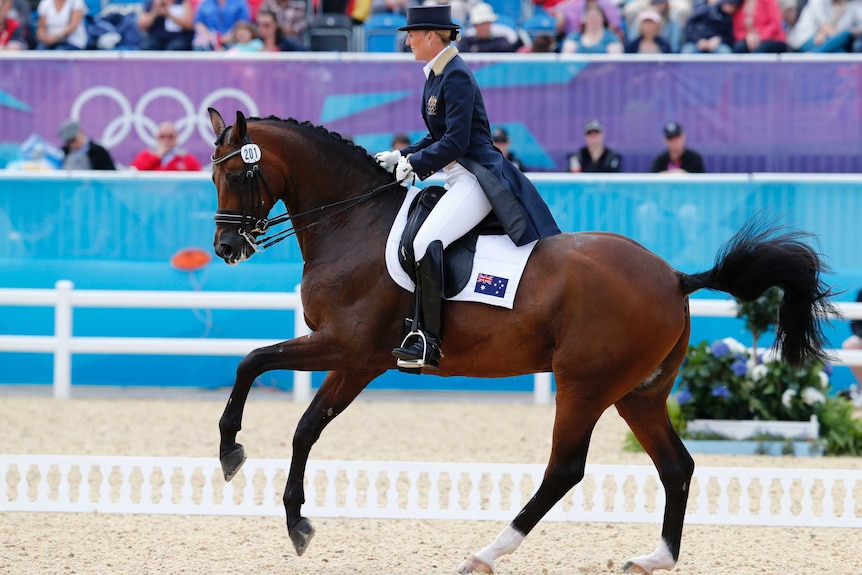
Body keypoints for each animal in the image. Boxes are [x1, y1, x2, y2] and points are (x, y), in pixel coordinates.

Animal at [206, 109, 832, 575]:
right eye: (213, 177)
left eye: (237, 176)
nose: (227, 249)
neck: (351, 225)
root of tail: (675, 277)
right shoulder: (355, 362)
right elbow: (305, 424)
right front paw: (295, 521)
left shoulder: (347, 347)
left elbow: (251, 362)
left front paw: (232, 453)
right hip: (640, 394)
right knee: (676, 465)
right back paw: (655, 558)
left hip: (585, 384)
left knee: (565, 469)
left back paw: (486, 553)